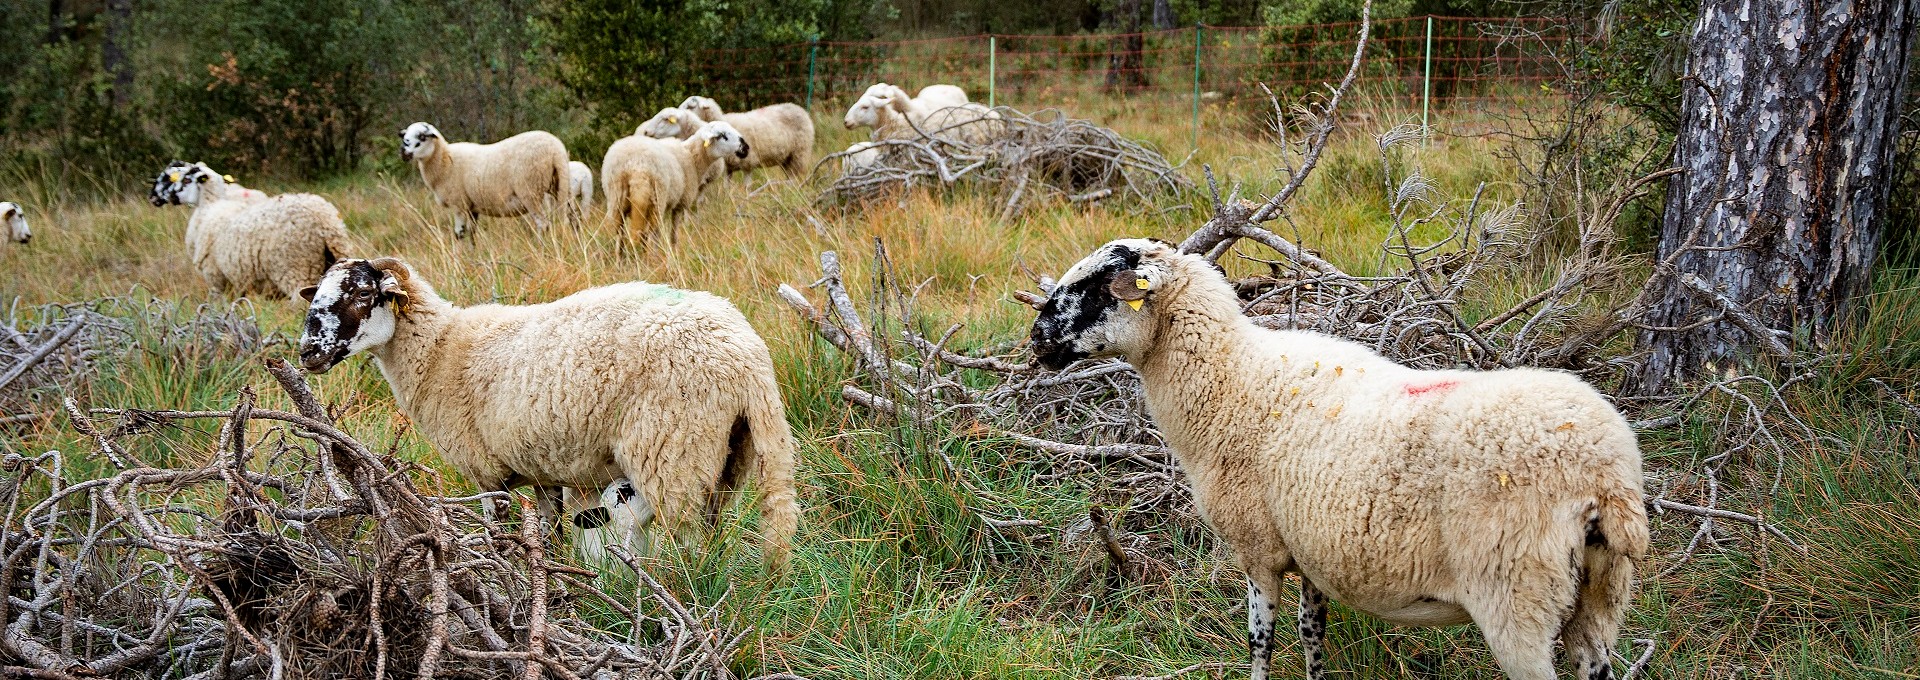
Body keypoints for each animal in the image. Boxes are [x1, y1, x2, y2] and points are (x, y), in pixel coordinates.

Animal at [147, 160, 355, 301]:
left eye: (185, 180)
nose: (153, 198)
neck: (209, 206)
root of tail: (325, 222)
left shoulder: (215, 278)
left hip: (296, 268)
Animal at [399, 121, 572, 239]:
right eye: (405, 136)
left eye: (422, 137)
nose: (403, 152)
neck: (445, 160)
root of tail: (555, 150)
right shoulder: (472, 207)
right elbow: (472, 233)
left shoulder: (458, 204)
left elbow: (459, 234)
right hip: (559, 185)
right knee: (565, 219)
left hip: (530, 191)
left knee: (543, 223)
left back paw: (540, 246)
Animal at [599, 120, 748, 247]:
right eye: (723, 136)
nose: (746, 147)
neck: (692, 156)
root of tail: (635, 164)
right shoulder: (680, 203)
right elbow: (673, 234)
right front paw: (673, 251)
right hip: (657, 199)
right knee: (647, 233)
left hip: (616, 199)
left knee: (620, 237)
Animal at [672, 98, 814, 179]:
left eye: (690, 107)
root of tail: (801, 109)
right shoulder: (728, 168)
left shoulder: (748, 164)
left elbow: (747, 189)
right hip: (788, 158)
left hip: (799, 154)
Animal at [1036, 239, 1651, 680]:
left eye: (1099, 288)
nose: (1037, 336)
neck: (1230, 378)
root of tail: (1607, 474)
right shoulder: (1310, 554)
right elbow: (1312, 636)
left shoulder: (1258, 548)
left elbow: (1260, 641)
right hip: (1600, 599)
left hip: (1517, 596)